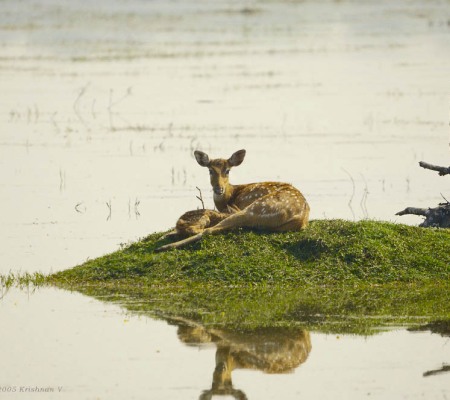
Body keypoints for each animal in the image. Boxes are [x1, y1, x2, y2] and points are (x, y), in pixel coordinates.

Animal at [156, 148, 310, 252]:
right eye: (210, 171)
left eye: (228, 170)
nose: (219, 189)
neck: (232, 194)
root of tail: (300, 217)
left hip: (256, 208)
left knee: (208, 230)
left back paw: (164, 245)